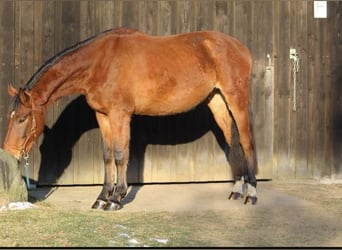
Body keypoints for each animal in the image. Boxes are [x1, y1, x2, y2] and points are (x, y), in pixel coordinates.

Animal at [2, 28, 258, 210]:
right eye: (10, 117)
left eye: (22, 119)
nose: (9, 151)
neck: (100, 62)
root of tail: (241, 47)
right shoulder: (103, 116)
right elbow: (107, 156)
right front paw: (102, 197)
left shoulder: (120, 115)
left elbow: (120, 154)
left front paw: (116, 198)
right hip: (217, 102)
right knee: (233, 142)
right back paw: (237, 190)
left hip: (237, 101)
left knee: (246, 143)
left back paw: (252, 193)